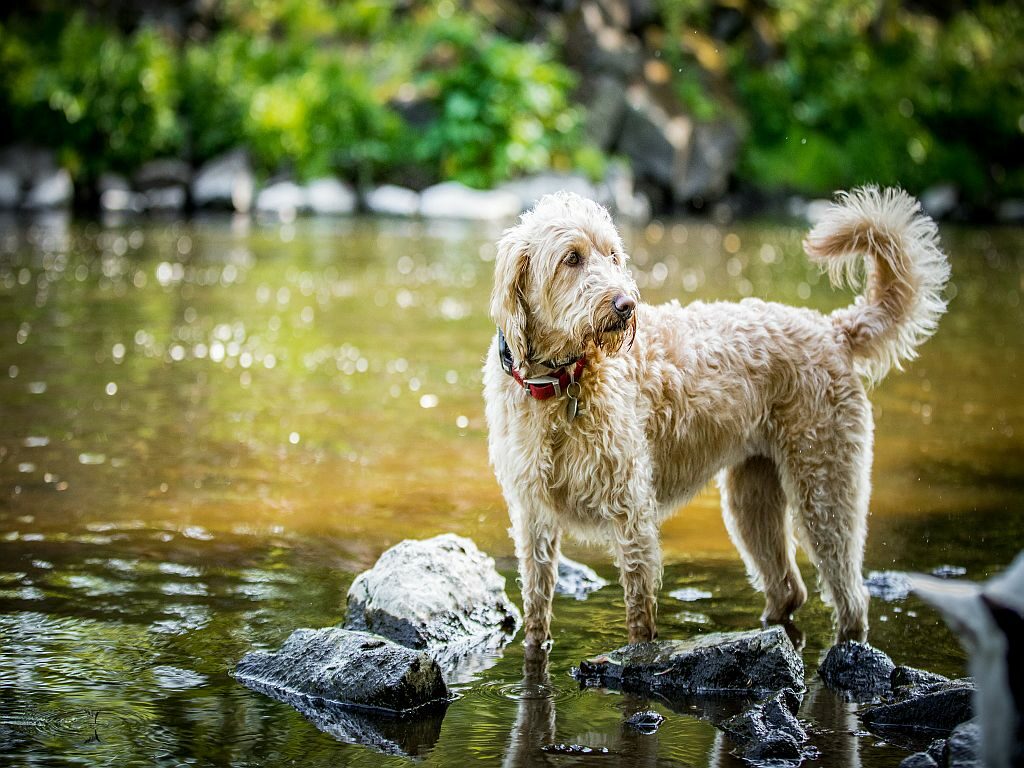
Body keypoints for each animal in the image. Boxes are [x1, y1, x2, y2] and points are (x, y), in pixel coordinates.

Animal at [483, 188, 946, 651]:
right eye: (572, 258)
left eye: (613, 255)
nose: (626, 304)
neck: (560, 383)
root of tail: (832, 329)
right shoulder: (533, 518)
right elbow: (536, 607)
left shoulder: (632, 513)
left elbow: (639, 615)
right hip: (752, 500)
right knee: (788, 589)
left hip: (825, 492)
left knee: (851, 598)